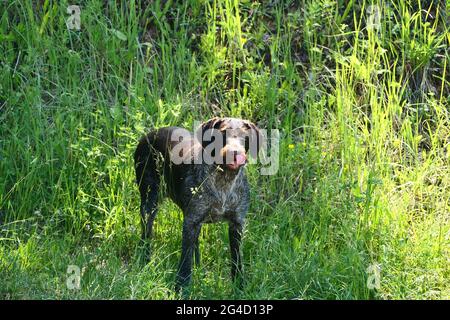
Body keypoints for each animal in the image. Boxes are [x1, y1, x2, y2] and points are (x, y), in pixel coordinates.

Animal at [134, 117, 260, 290]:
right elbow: (185, 261)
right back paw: (145, 260)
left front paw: (239, 286)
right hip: (149, 201)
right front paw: (181, 287)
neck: (224, 181)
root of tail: (148, 135)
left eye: (244, 136)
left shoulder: (236, 224)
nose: (234, 153)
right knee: (146, 234)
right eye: (222, 133)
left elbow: (237, 259)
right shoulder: (191, 221)